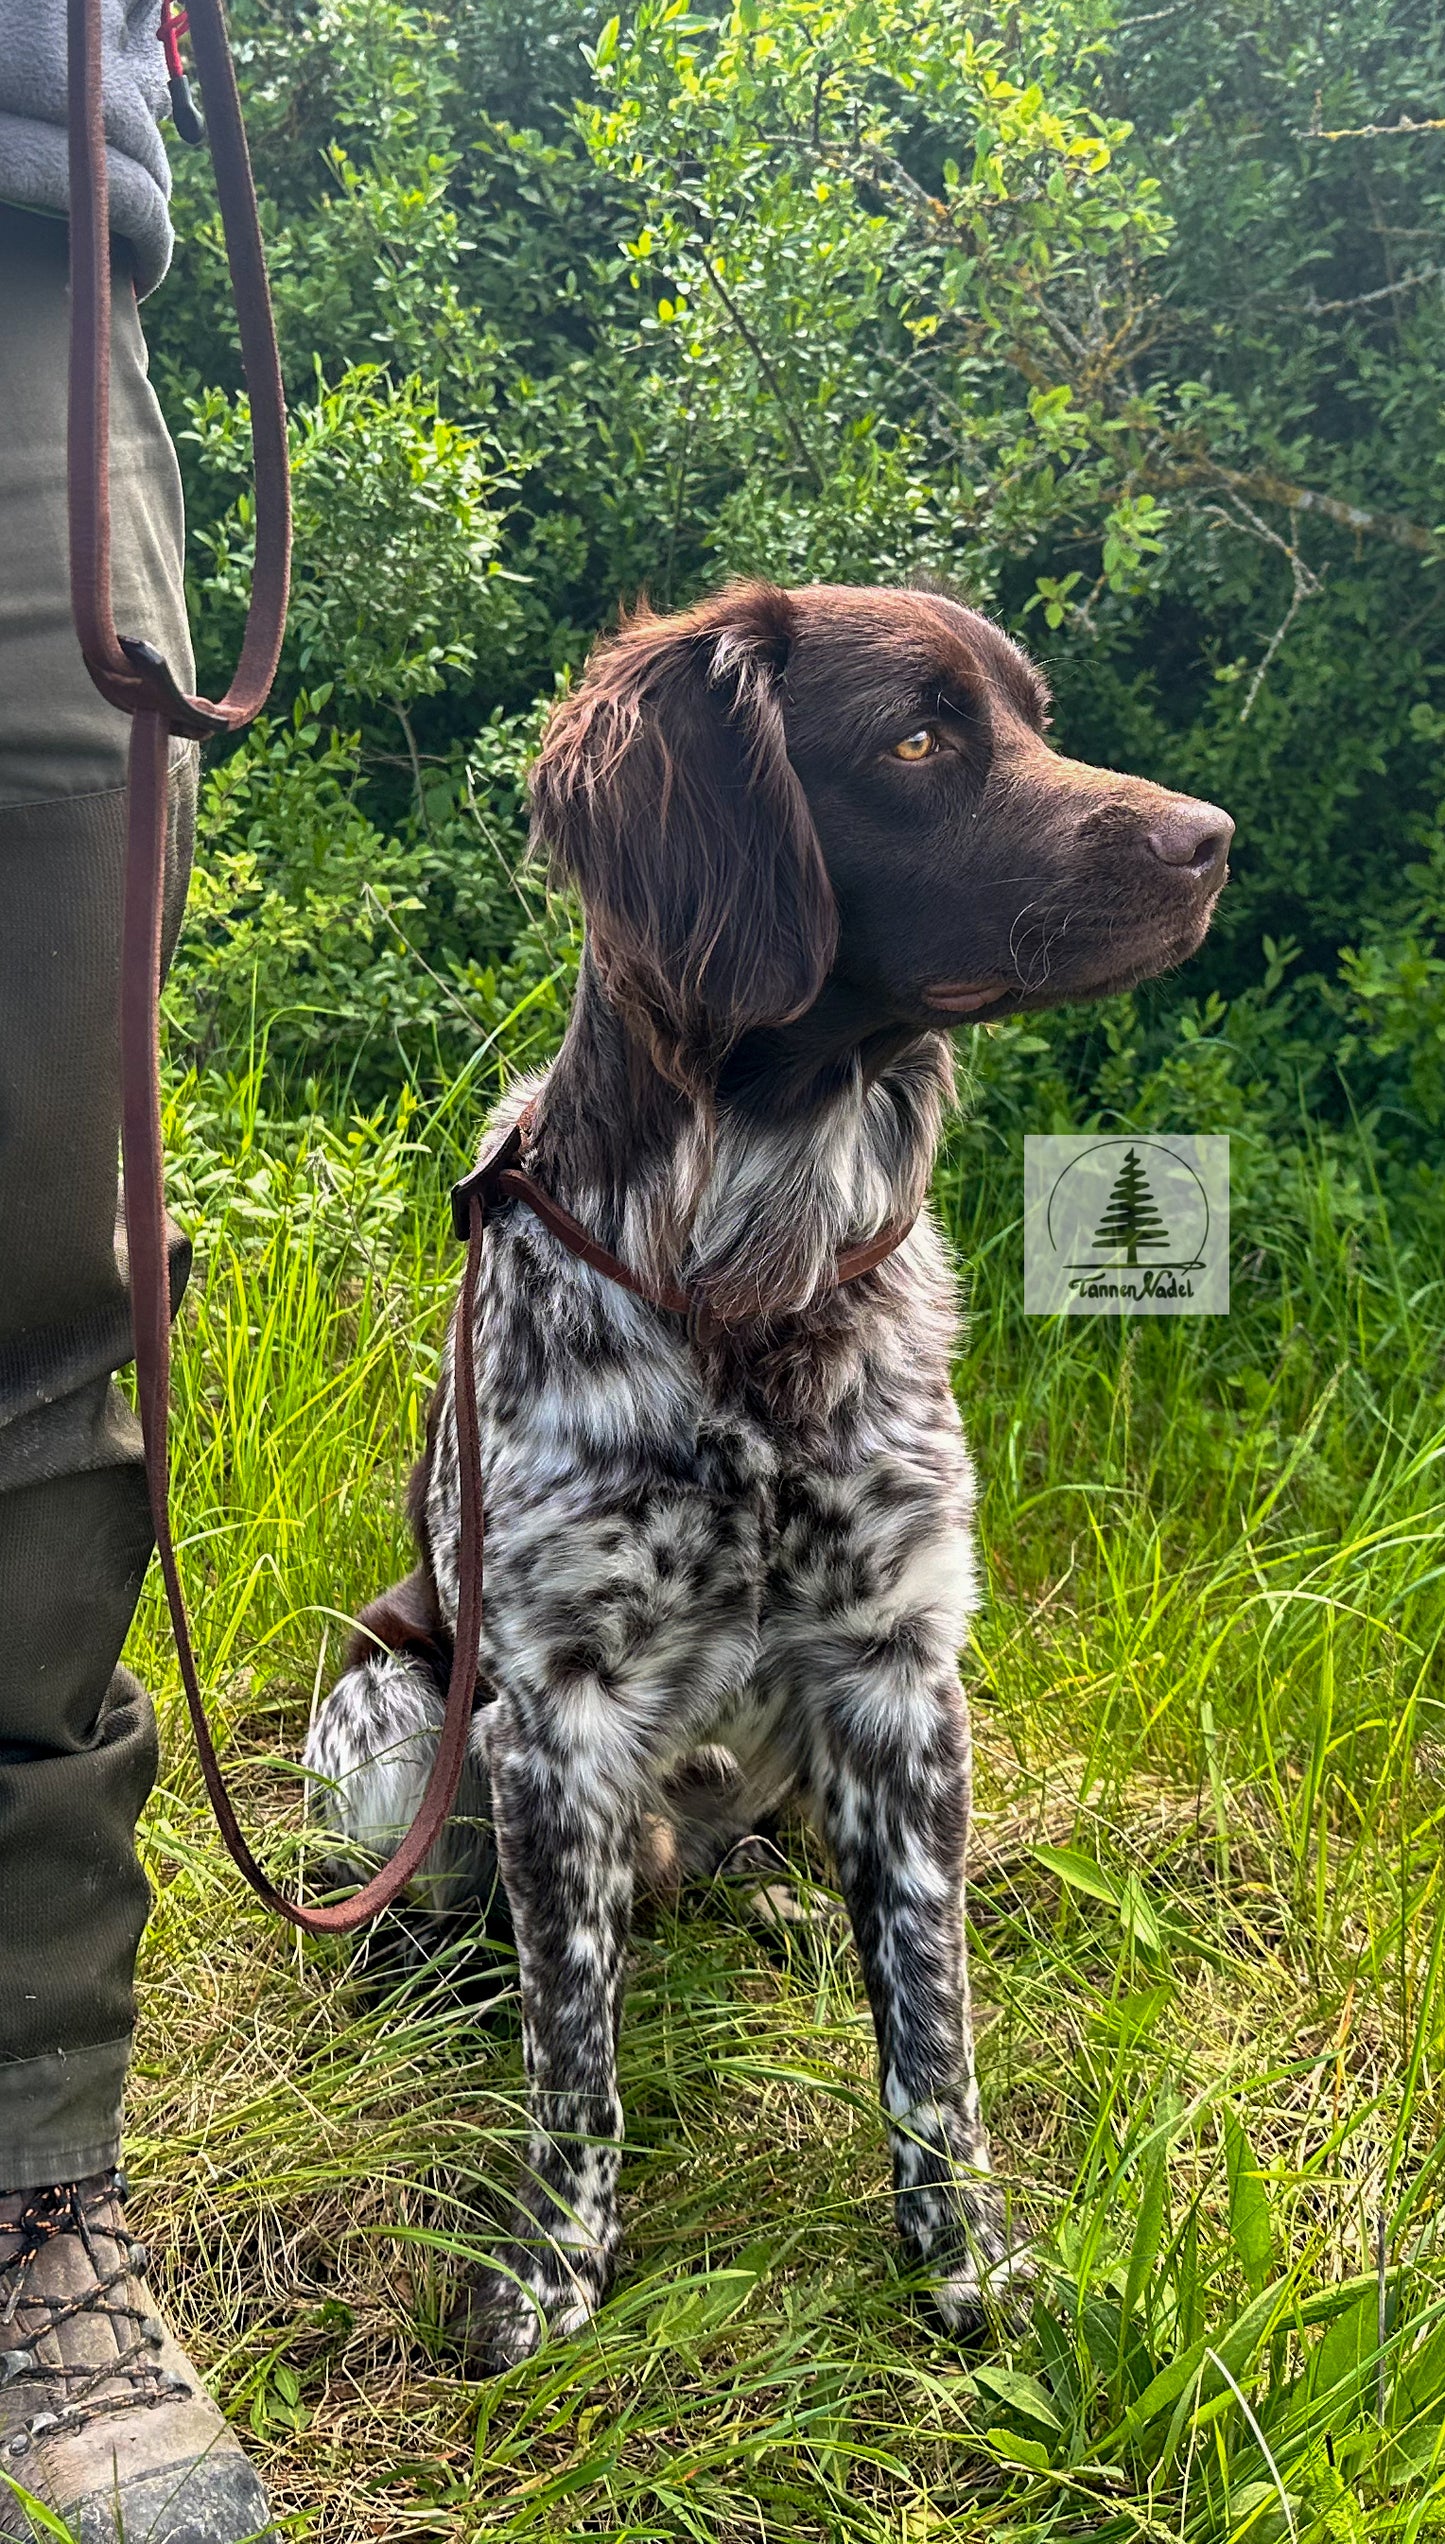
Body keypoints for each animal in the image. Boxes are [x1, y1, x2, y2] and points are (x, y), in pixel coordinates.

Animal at [305, 577, 1231, 2360]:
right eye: (920, 739)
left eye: (1033, 714)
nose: (1211, 838)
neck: (749, 1281)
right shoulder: (553, 1712)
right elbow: (572, 2057)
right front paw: (553, 2276)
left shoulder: (899, 1673)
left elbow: (932, 2030)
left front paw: (967, 2264)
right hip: (387, 1718)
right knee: (482, 1918)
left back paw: (776, 1905)